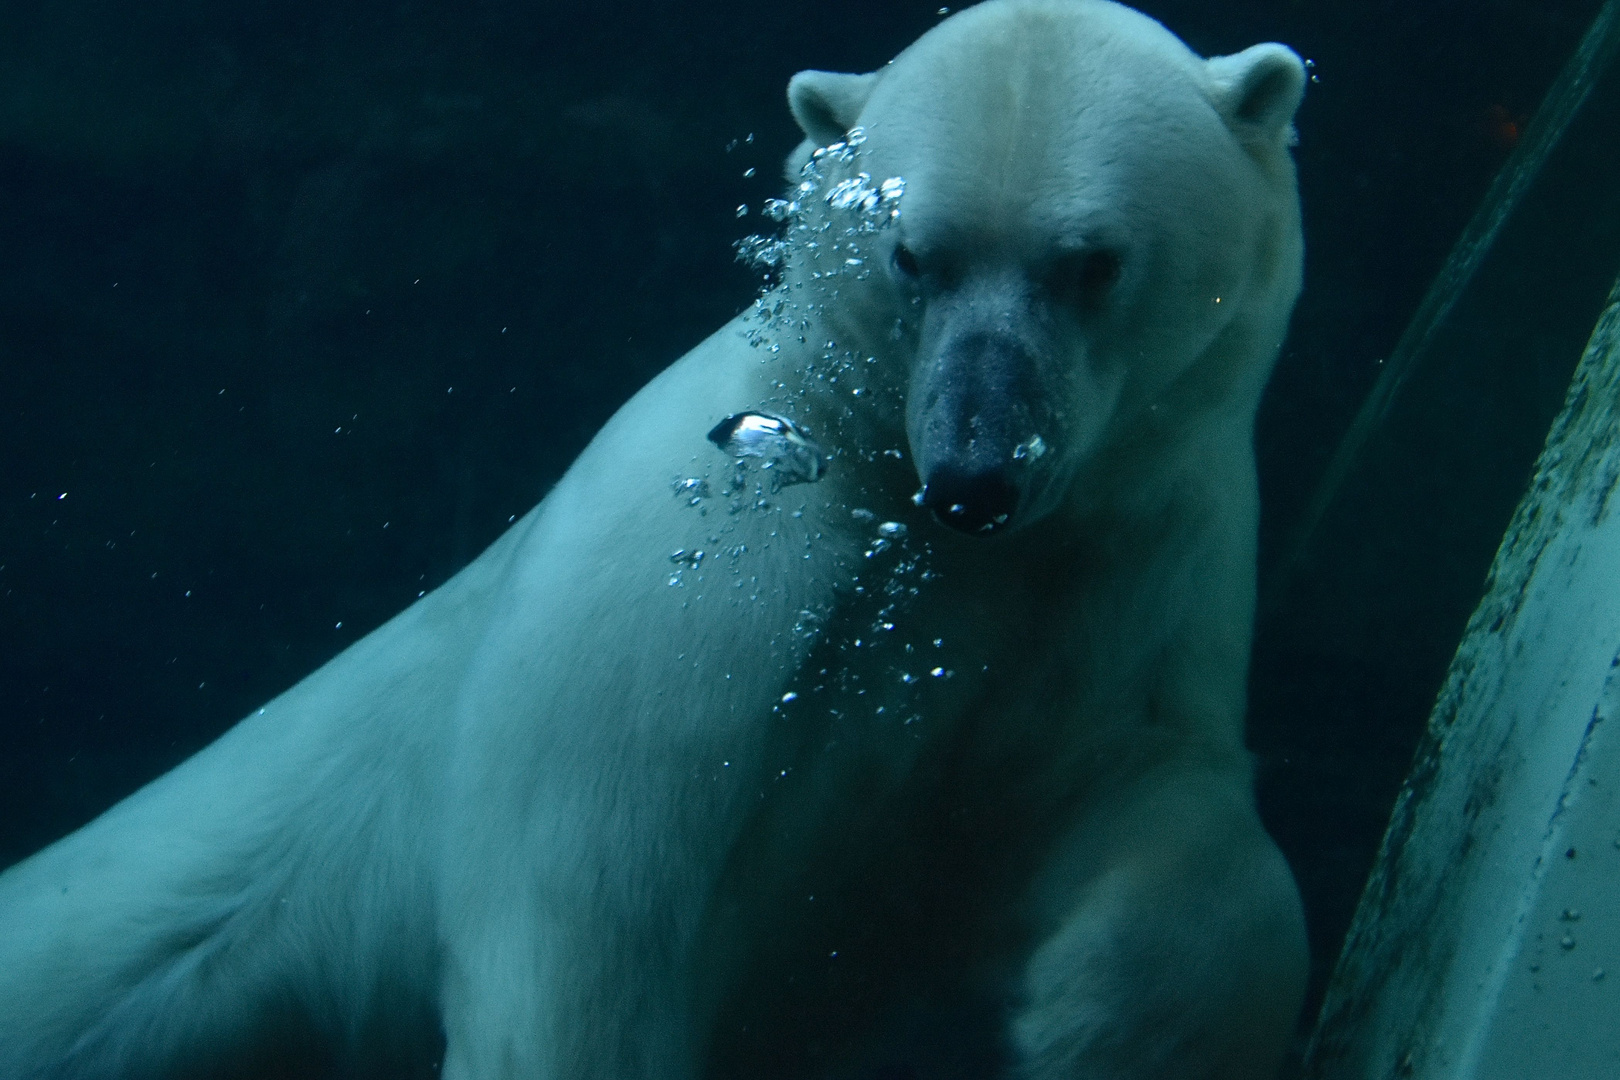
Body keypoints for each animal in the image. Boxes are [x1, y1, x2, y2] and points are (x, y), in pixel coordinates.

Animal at [0, 2, 1308, 1080]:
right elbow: (588, 917)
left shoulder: (1120, 565)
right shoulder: (695, 578)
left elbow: (1145, 789)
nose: (975, 476)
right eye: (911, 256)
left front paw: (1100, 1024)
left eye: (1091, 262)